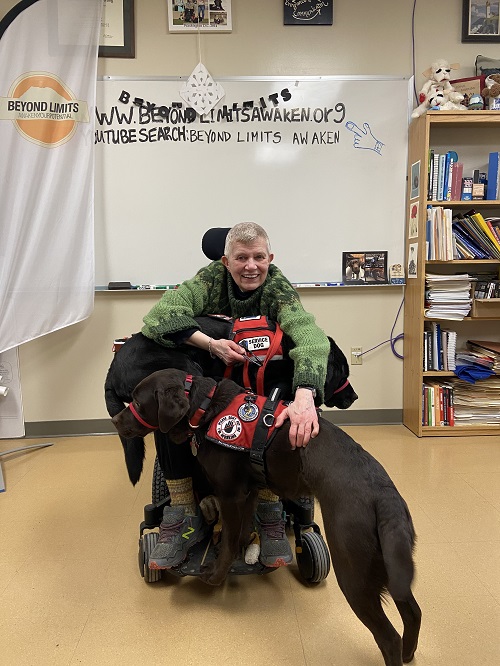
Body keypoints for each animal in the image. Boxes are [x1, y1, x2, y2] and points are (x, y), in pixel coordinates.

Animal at [113, 368, 422, 664]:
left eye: (138, 402)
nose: (115, 420)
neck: (205, 407)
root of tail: (385, 497)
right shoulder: (248, 491)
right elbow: (239, 532)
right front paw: (241, 553)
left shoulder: (230, 495)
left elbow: (228, 541)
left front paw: (216, 575)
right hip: (391, 565)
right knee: (413, 611)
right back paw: (409, 653)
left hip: (353, 569)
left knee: (389, 638)